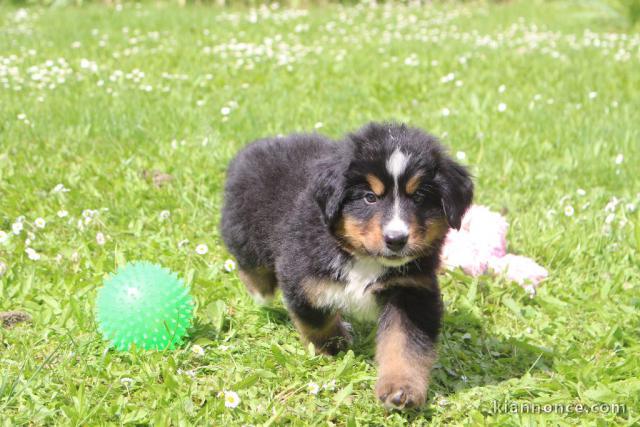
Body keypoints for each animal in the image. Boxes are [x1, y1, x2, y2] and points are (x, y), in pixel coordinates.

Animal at [222, 122, 472, 410]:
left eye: (419, 196)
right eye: (369, 197)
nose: (396, 239)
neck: (365, 258)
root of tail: (263, 143)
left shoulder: (411, 290)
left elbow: (405, 343)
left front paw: (401, 388)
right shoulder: (300, 272)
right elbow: (317, 318)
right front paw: (335, 346)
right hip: (244, 229)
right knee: (250, 264)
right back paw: (260, 292)